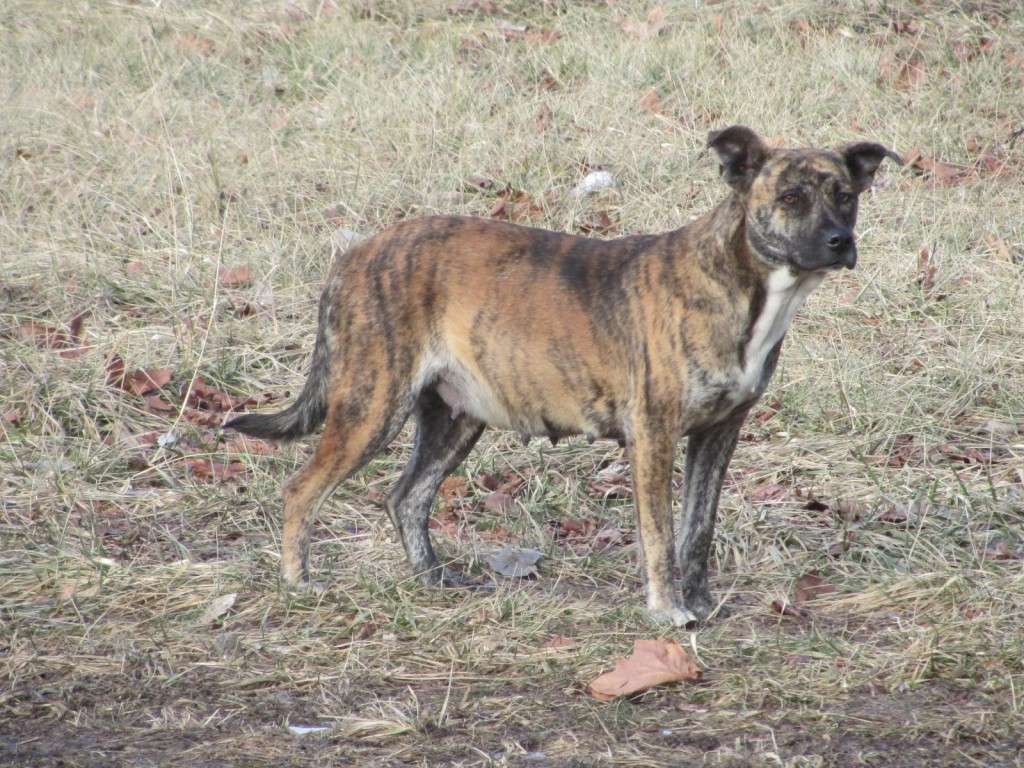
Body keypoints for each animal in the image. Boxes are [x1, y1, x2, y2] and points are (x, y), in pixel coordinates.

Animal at [224, 126, 897, 626]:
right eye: (791, 199)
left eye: (846, 195)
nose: (840, 241)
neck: (741, 283)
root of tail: (358, 252)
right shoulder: (653, 437)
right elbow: (660, 536)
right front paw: (668, 611)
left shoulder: (718, 436)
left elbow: (697, 530)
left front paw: (703, 602)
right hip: (371, 408)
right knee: (302, 491)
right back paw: (299, 584)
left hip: (455, 420)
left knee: (406, 497)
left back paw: (432, 579)